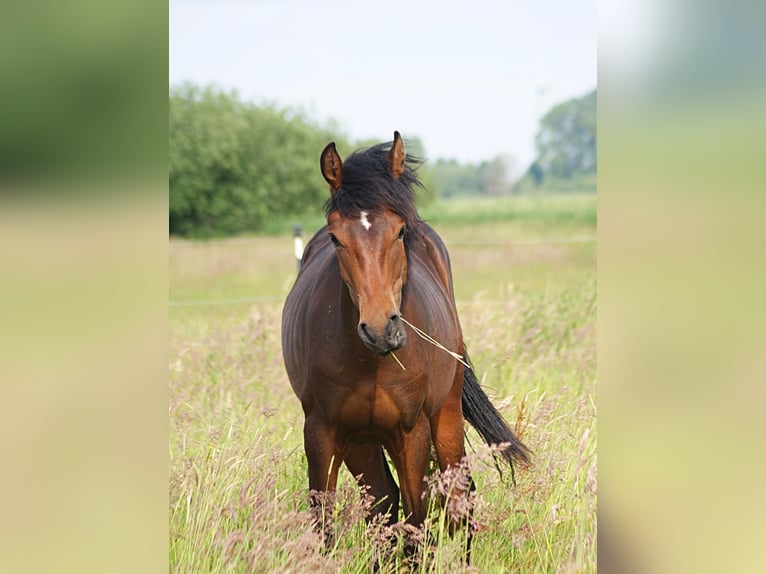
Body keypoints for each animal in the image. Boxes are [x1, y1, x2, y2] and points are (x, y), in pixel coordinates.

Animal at [284, 132, 536, 564]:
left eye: (399, 232)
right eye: (336, 237)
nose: (380, 329)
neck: (371, 361)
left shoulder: (411, 431)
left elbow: (418, 529)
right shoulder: (322, 431)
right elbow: (327, 525)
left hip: (445, 416)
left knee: (458, 498)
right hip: (361, 440)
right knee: (383, 504)